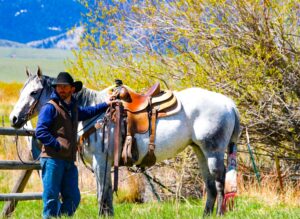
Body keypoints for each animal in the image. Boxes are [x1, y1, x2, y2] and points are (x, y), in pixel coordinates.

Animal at [9, 69, 241, 216]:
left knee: (220, 183)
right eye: (21, 92)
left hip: (214, 151)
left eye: (33, 92)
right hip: (200, 151)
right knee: (210, 185)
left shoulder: (100, 161)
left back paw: (219, 213)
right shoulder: (106, 162)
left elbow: (102, 194)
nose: (14, 119)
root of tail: (229, 103)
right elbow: (106, 194)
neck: (95, 113)